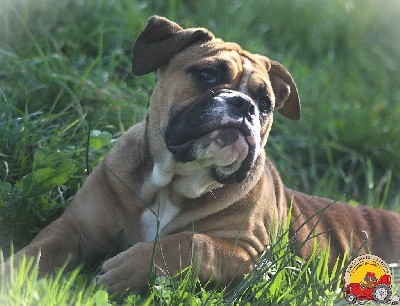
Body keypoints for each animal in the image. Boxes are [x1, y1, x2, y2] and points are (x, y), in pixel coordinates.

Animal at [3, 15, 400, 292]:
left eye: (265, 104)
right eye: (207, 74)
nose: (243, 106)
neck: (171, 184)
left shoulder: (253, 256)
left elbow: (191, 244)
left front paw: (127, 268)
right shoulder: (76, 226)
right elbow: (40, 249)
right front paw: (12, 276)